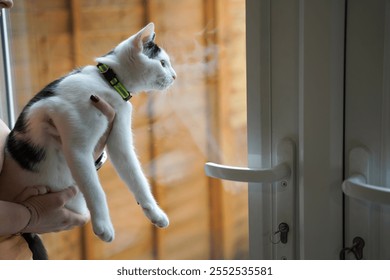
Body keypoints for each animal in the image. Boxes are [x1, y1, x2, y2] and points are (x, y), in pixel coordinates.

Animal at [3, 23, 175, 260]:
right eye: (162, 63)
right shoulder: (72, 142)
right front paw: (103, 226)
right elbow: (95, 188)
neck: (108, 84)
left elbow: (137, 177)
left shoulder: (120, 143)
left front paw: (155, 213)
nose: (174, 76)